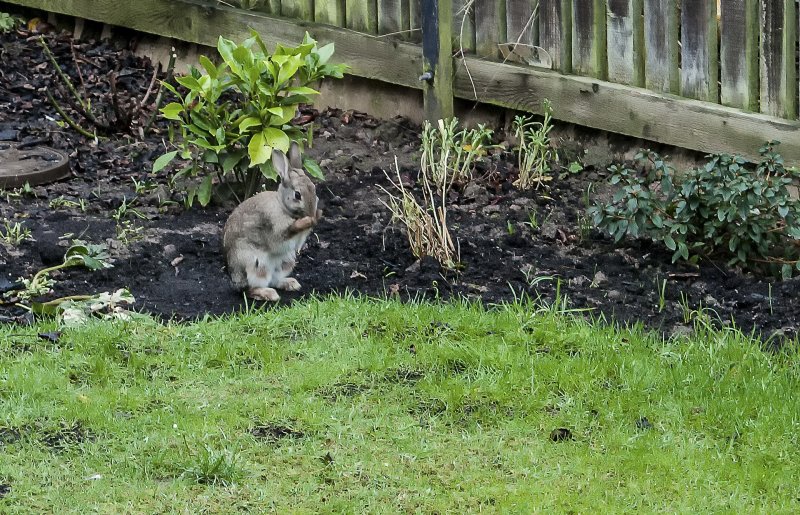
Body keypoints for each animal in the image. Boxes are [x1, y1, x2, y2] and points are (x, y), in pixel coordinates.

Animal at [222, 142, 322, 301]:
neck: (283, 207)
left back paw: (291, 283)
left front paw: (317, 216)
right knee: (250, 289)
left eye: (314, 189)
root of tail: (235, 282)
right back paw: (269, 294)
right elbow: (282, 236)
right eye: (297, 195)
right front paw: (306, 221)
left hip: (286, 262)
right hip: (255, 265)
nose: (311, 213)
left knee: (274, 280)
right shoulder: (275, 228)